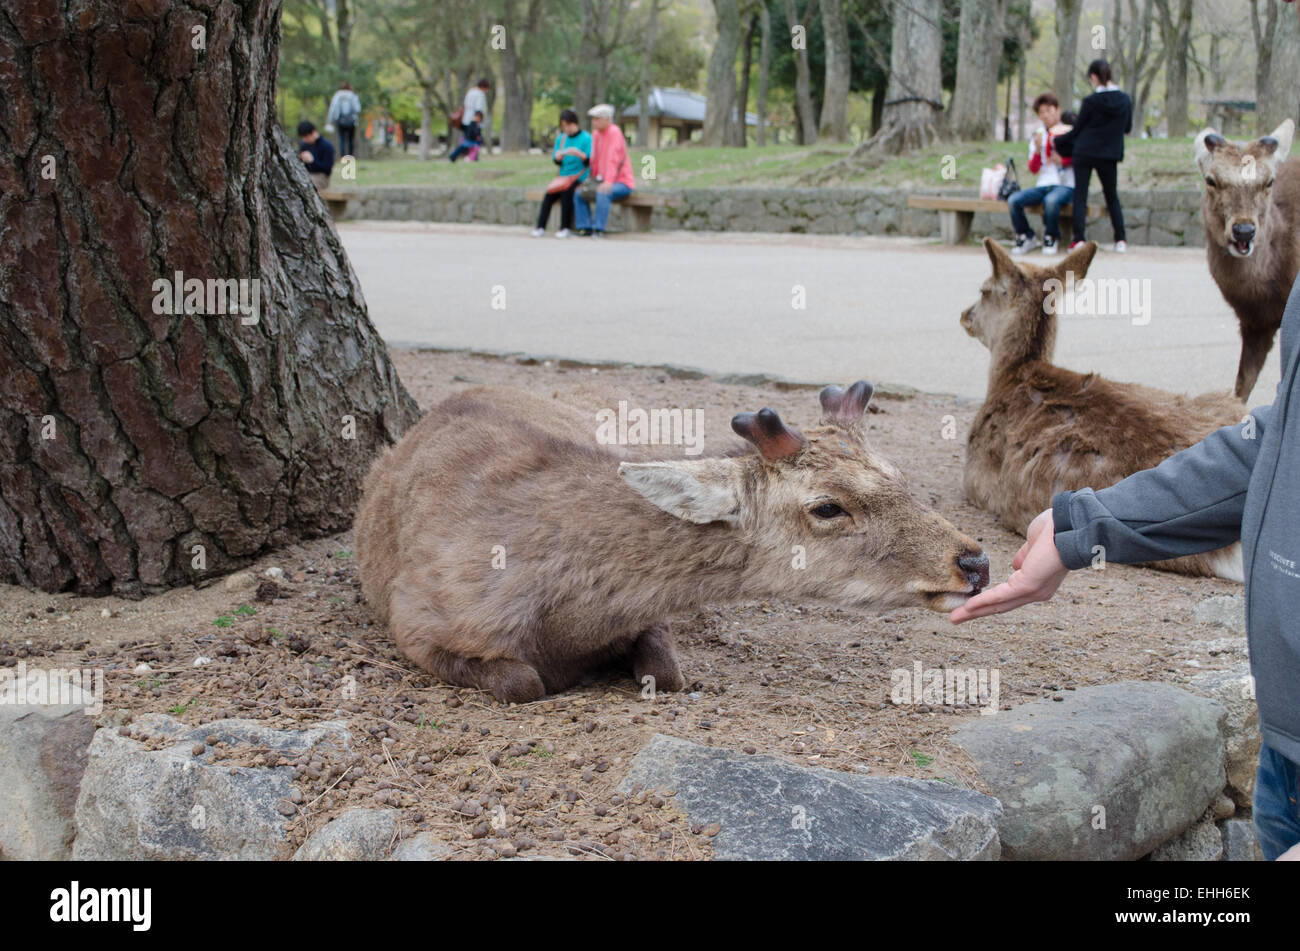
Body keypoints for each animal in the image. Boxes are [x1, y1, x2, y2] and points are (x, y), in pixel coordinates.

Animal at [354, 383, 990, 703]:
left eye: (900, 475)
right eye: (827, 506)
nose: (975, 561)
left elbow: (668, 672)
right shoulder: (415, 619)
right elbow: (523, 682)